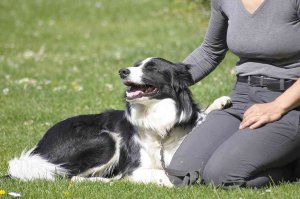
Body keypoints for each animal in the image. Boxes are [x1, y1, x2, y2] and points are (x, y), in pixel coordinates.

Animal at [8, 57, 231, 187]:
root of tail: (39, 148)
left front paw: (219, 103)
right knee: (70, 176)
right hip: (106, 140)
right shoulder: (137, 167)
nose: (122, 71)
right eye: (135, 65)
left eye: (152, 68)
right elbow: (169, 176)